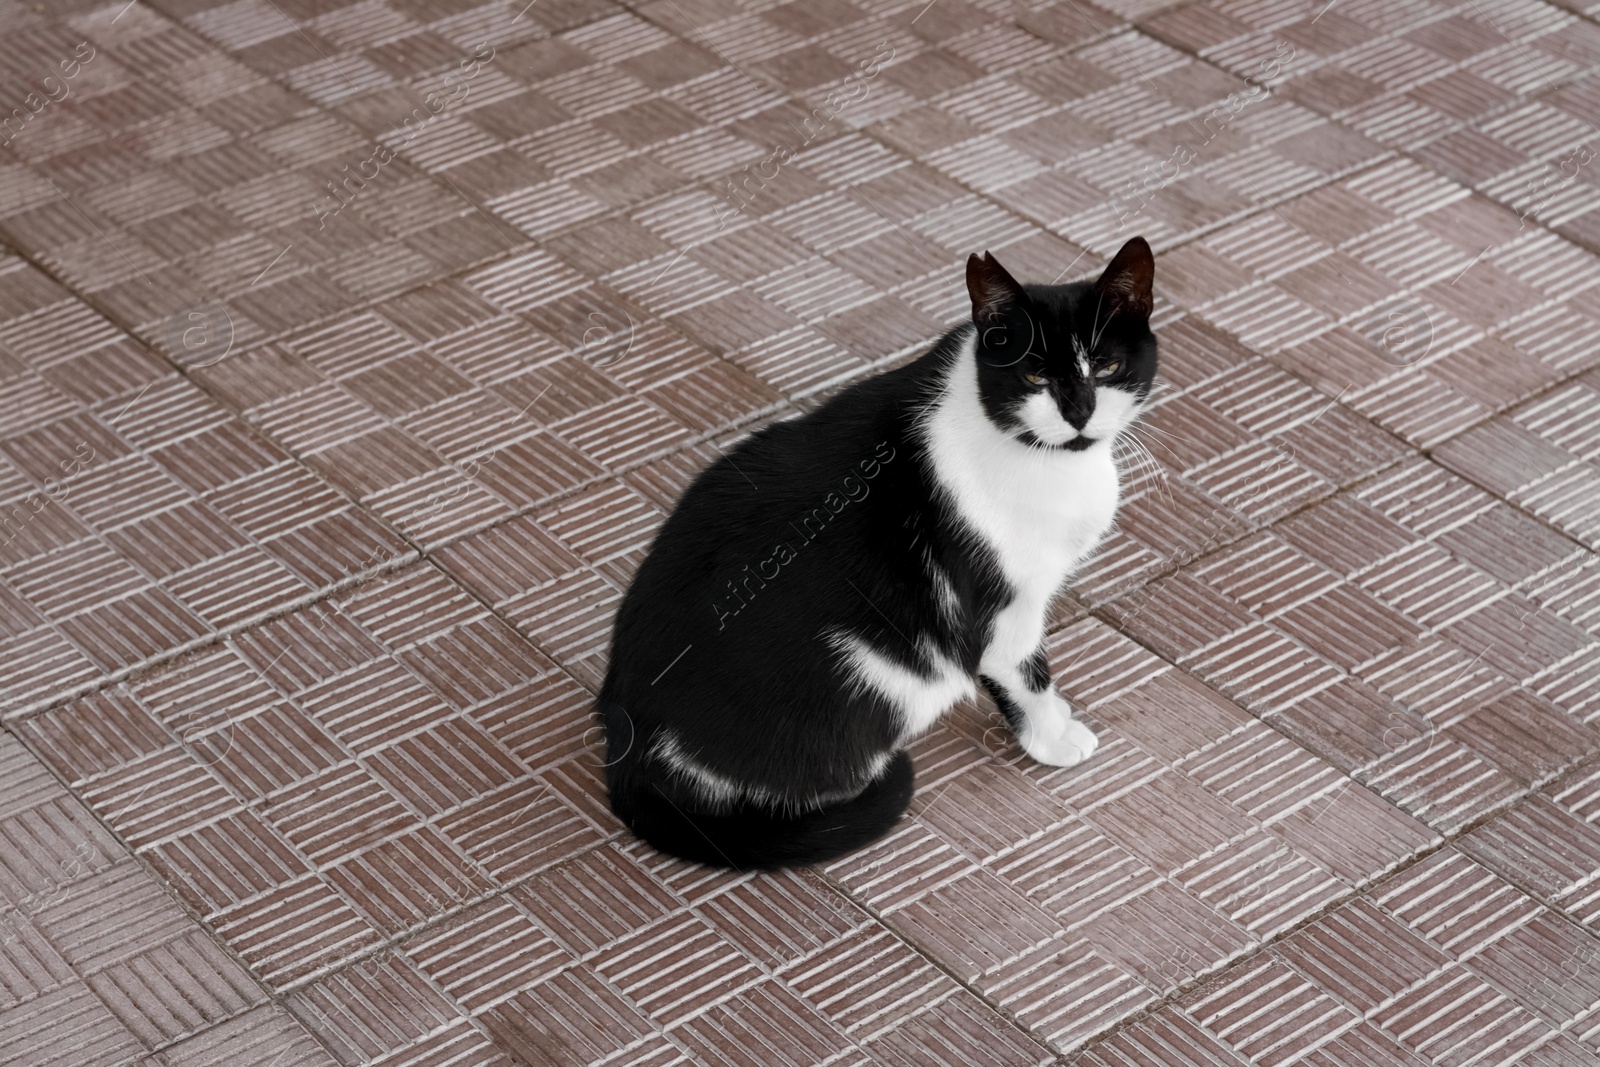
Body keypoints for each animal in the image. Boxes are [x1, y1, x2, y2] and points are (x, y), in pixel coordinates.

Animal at [595, 238, 1158, 870]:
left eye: (1107, 367)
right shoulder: (999, 603)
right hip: (870, 675)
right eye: (1035, 372)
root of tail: (627, 748)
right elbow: (1024, 671)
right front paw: (1052, 736)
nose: (1079, 411)